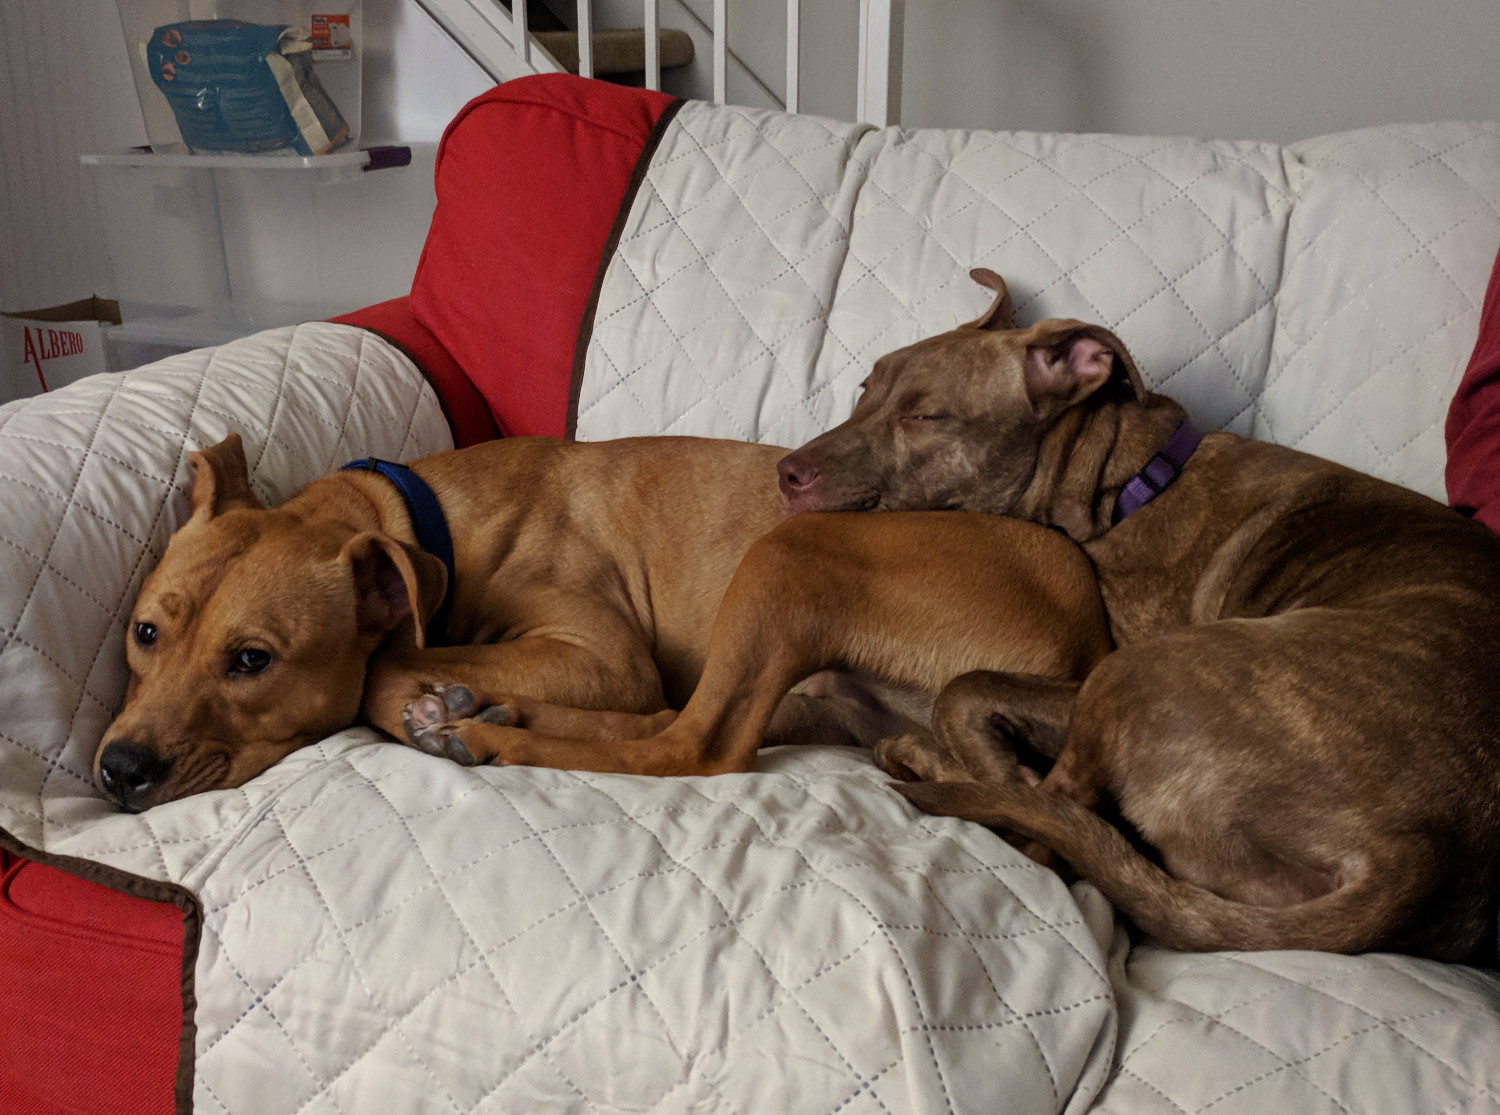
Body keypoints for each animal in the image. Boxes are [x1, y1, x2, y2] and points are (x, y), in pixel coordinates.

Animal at [93, 414, 1104, 804]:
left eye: (253, 660)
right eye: (145, 632)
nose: (119, 769)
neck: (425, 521)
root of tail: (1087, 626)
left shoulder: (600, 651)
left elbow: (387, 661)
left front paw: (427, 697)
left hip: (789, 555)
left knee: (691, 745)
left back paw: (493, 731)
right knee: (669, 721)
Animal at [756, 268, 1500, 960]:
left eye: (925, 416)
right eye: (865, 392)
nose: (787, 474)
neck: (1130, 483)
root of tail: (1419, 856)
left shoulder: (1084, 672)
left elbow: (965, 697)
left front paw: (978, 756)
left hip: (1138, 675)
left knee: (1047, 820)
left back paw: (932, 761)